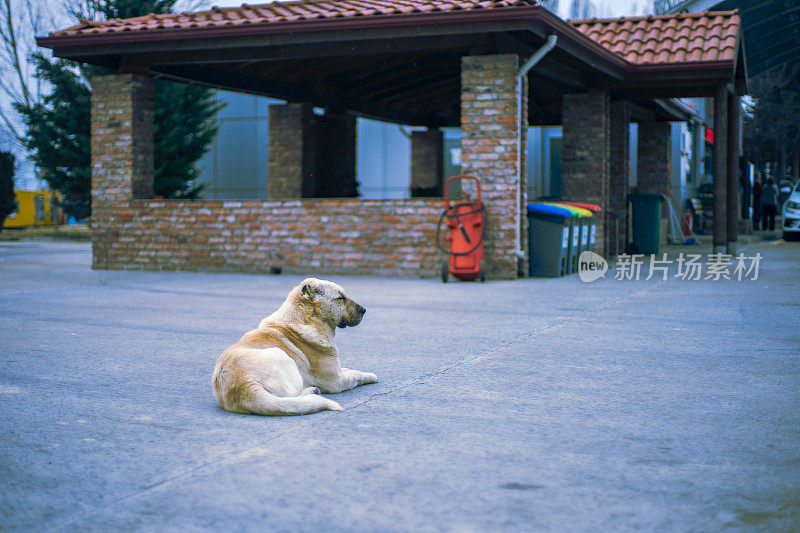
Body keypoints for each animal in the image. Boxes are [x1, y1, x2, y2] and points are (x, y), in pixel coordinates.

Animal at [211, 278, 376, 416]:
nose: (364, 310)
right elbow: (357, 375)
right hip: (281, 355)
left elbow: (350, 369)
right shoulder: (337, 381)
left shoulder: (338, 371)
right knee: (293, 397)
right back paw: (312, 392)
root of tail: (244, 387)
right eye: (340, 298)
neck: (306, 320)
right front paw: (371, 376)